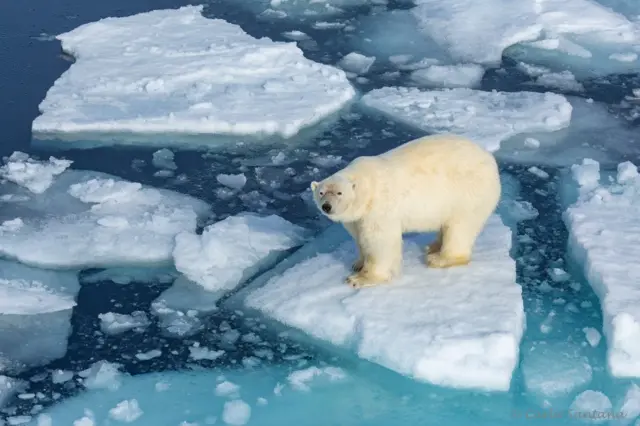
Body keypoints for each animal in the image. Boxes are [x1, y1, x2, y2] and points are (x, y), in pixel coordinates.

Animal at [310, 133, 501, 289]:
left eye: (339, 192)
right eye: (321, 193)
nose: (327, 206)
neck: (367, 185)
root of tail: (491, 160)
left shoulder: (379, 206)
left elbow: (380, 241)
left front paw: (360, 279)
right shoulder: (357, 218)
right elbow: (359, 237)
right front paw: (357, 263)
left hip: (468, 193)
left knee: (460, 227)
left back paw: (439, 258)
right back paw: (432, 246)